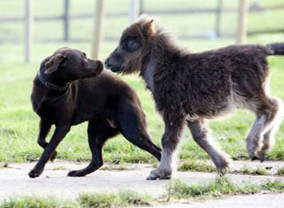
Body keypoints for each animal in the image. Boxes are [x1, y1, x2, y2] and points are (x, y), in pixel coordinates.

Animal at [30, 47, 162, 179]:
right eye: (83, 58)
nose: (101, 62)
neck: (51, 89)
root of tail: (133, 92)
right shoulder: (45, 120)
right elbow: (41, 141)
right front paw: (53, 155)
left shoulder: (63, 126)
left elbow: (49, 148)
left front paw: (36, 170)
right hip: (95, 133)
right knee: (97, 161)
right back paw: (78, 172)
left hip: (132, 131)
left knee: (158, 151)